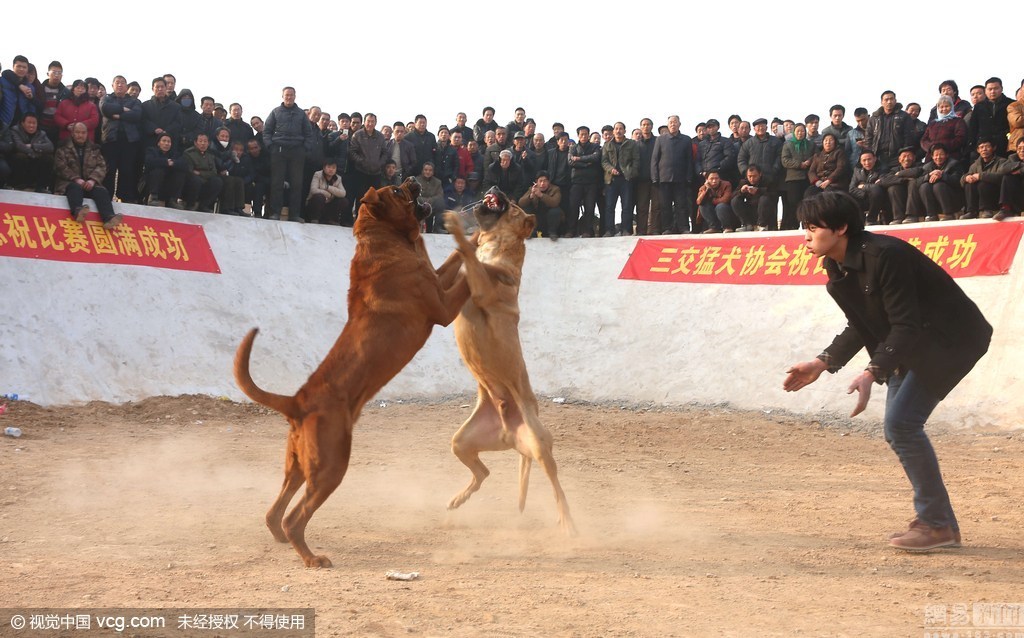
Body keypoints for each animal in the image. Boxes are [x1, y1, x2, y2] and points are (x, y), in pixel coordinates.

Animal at [234, 180, 466, 569]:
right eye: (398, 190)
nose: (415, 179)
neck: (389, 240)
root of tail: (296, 401)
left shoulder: (437, 278)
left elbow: (456, 259)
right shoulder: (444, 307)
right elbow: (468, 272)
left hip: (298, 465)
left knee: (274, 512)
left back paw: (284, 540)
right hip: (332, 465)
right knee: (295, 517)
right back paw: (313, 558)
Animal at [444, 188, 577, 532]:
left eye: (514, 206)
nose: (496, 189)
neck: (496, 249)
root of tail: (509, 435)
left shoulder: (484, 288)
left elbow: (471, 260)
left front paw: (457, 228)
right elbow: (459, 259)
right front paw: (466, 235)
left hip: (540, 446)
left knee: (557, 486)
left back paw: (568, 522)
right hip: (461, 441)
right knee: (483, 473)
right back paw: (457, 499)